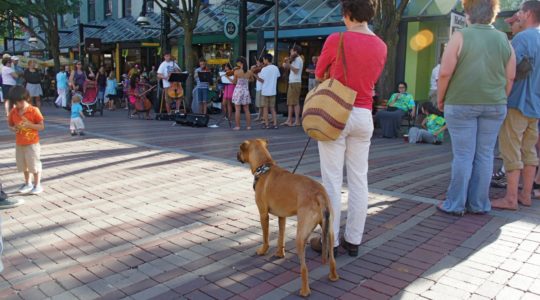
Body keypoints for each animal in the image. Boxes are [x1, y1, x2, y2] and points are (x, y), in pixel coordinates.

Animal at [236, 139, 338, 296]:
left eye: (240, 150)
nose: (236, 155)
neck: (264, 167)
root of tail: (319, 194)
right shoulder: (282, 217)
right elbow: (281, 237)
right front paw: (280, 253)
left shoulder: (263, 214)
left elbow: (266, 237)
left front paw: (263, 251)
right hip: (330, 232)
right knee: (332, 258)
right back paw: (333, 276)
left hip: (300, 237)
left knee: (304, 268)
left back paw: (304, 290)